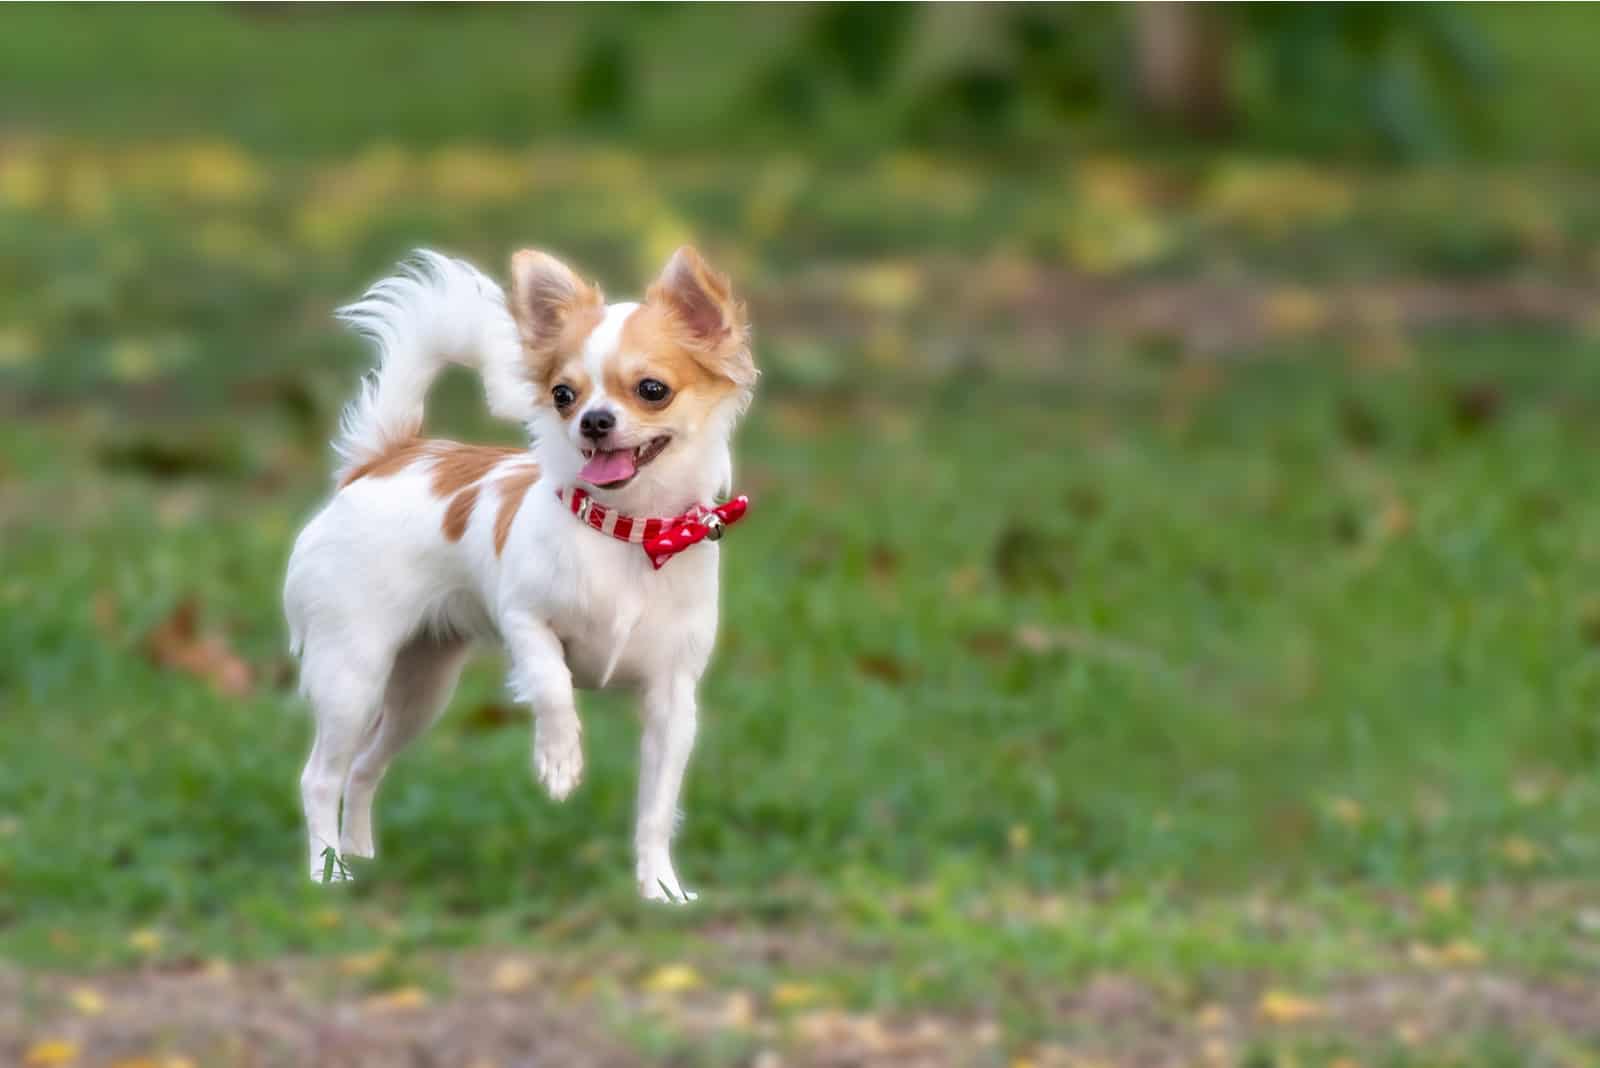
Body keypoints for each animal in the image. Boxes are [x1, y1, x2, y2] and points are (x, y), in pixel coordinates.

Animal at [284, 244, 758, 901]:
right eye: (563, 394)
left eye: (652, 390)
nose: (593, 421)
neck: (629, 531)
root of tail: (387, 458)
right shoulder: (524, 620)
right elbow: (553, 683)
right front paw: (560, 761)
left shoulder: (672, 700)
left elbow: (657, 807)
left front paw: (661, 889)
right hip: (353, 674)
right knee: (319, 778)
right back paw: (325, 873)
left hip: (420, 689)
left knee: (362, 766)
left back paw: (358, 855)